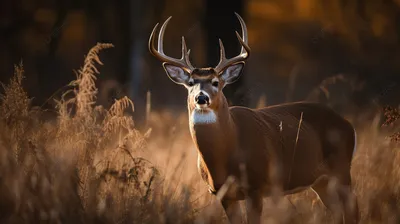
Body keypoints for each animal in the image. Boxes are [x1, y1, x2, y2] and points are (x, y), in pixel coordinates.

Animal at [148, 12, 360, 224]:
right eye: (191, 83)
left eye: (216, 82)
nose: (201, 97)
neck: (226, 152)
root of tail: (348, 124)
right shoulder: (223, 194)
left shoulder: (256, 187)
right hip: (321, 181)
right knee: (338, 212)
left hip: (342, 169)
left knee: (352, 210)